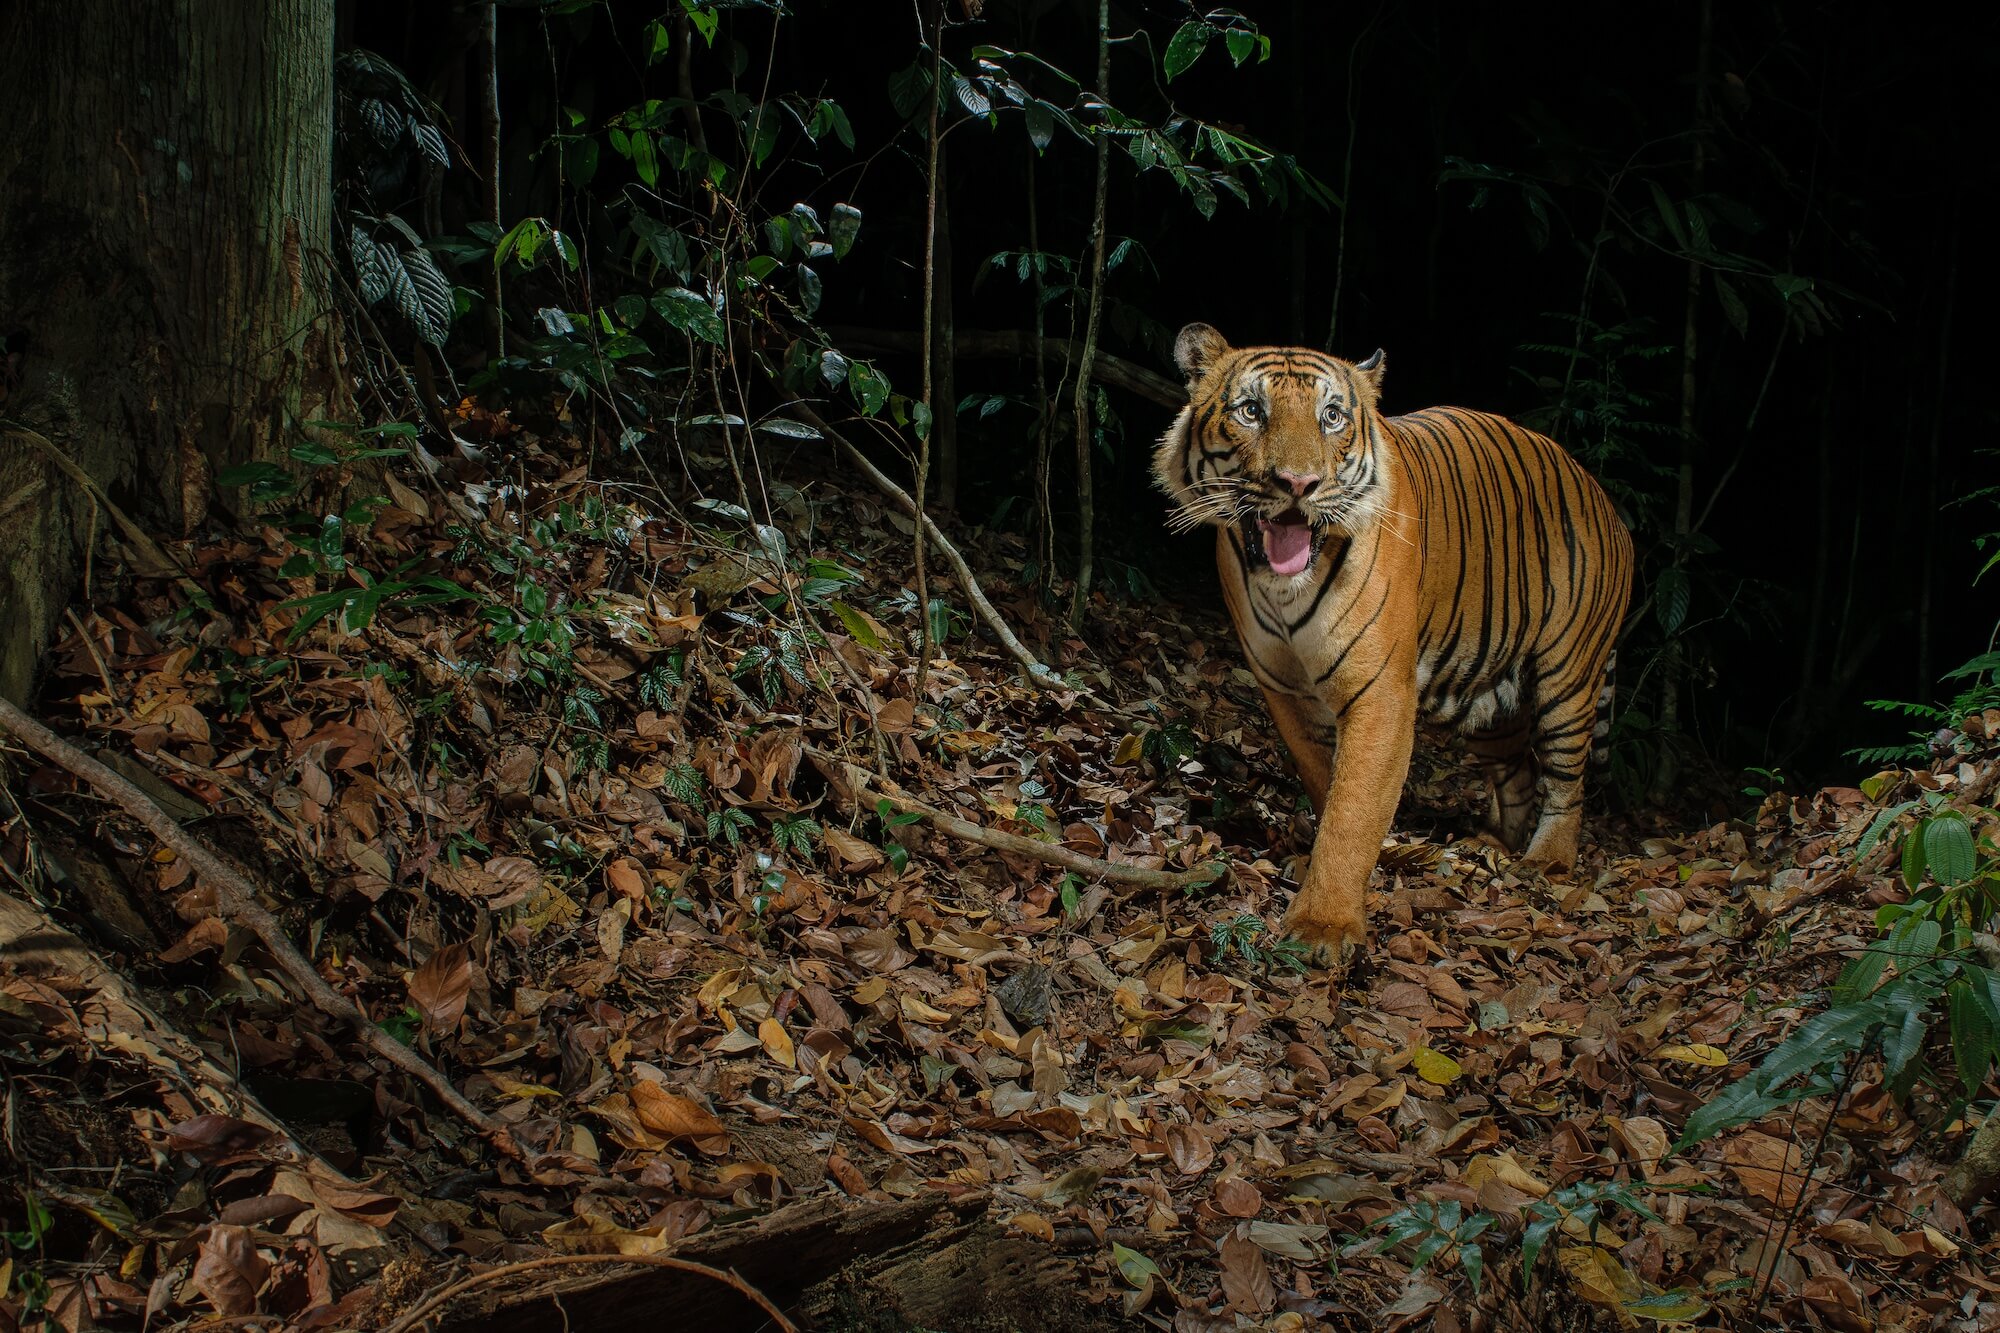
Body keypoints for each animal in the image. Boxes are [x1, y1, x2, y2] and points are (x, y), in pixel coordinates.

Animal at [1152, 322, 1632, 964]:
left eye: (1332, 417)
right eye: (1251, 411)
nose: (1297, 483)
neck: (1283, 590)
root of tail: (1604, 497)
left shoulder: (1380, 692)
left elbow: (1355, 805)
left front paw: (1323, 926)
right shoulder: (1284, 689)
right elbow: (1324, 778)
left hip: (1568, 675)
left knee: (1565, 777)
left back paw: (1545, 862)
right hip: (1487, 700)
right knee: (1516, 772)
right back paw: (1493, 845)